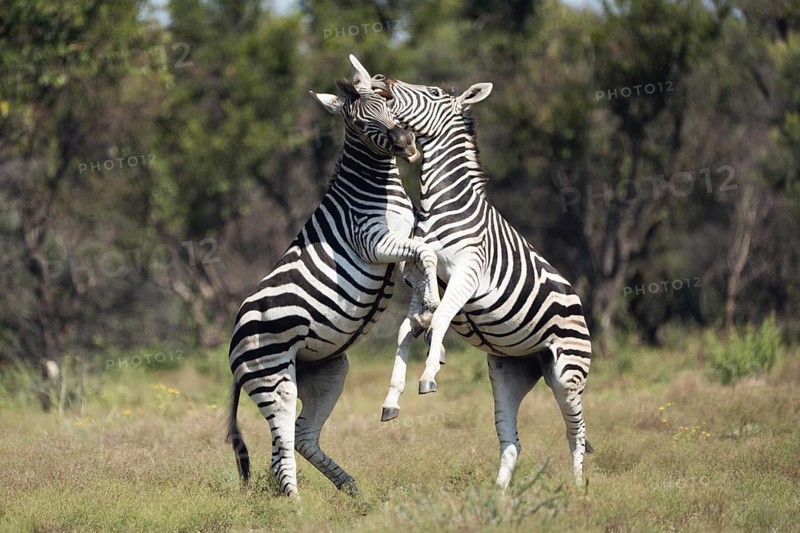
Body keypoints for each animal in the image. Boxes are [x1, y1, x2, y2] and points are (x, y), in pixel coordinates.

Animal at [225, 55, 441, 498]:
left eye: (388, 101)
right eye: (358, 123)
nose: (407, 144)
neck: (375, 188)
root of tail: (233, 345)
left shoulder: (403, 241)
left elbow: (423, 257)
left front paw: (425, 310)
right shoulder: (375, 243)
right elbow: (425, 252)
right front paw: (430, 305)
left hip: (327, 370)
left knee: (303, 436)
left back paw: (351, 489)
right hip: (273, 374)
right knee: (282, 444)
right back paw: (296, 504)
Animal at [370, 74, 593, 487]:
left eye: (434, 93)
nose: (382, 79)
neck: (438, 204)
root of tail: (577, 301)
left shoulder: (467, 274)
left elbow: (441, 318)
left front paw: (429, 373)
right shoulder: (420, 279)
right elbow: (406, 330)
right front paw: (392, 398)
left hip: (566, 374)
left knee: (577, 433)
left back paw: (577, 489)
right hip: (509, 371)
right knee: (511, 440)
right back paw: (499, 495)